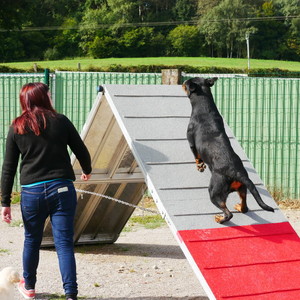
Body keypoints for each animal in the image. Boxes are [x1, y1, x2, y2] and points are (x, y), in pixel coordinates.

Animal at [183, 76, 274, 224]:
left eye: (186, 83)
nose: (182, 82)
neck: (204, 107)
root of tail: (237, 173)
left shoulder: (191, 141)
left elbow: (196, 156)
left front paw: (200, 166)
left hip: (214, 191)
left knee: (228, 212)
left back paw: (220, 219)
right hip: (242, 188)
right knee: (244, 207)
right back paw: (238, 207)